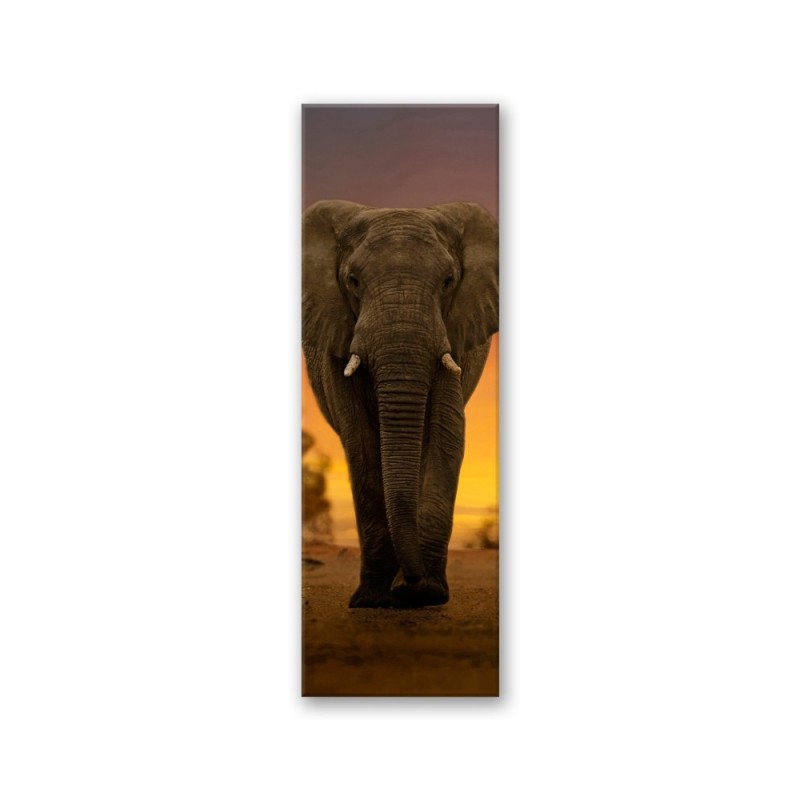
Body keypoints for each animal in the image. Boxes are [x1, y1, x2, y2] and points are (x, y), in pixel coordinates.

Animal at [302, 200, 498, 608]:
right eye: (353, 281)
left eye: (448, 281)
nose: (413, 583)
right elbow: (360, 443)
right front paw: (373, 600)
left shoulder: (454, 334)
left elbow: (446, 433)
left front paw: (427, 594)